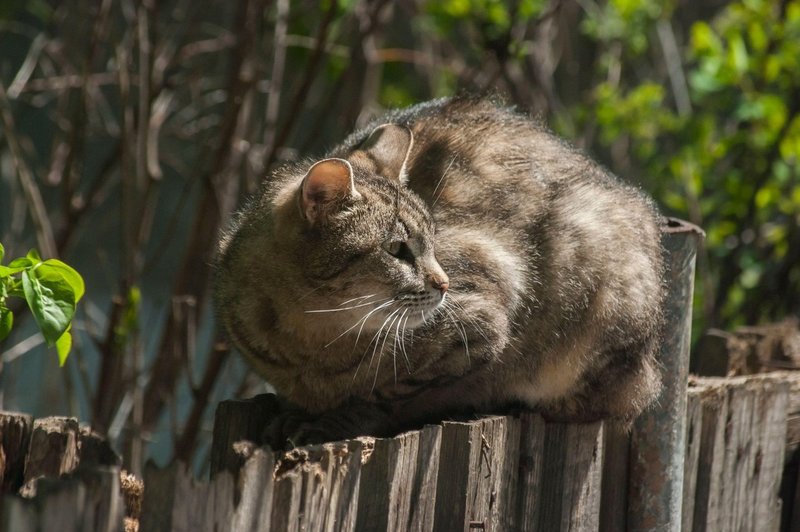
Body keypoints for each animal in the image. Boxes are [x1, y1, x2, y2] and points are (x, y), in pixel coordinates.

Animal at [216, 95, 664, 444]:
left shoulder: (483, 313)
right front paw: (291, 413)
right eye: (397, 250)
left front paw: (335, 420)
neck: (310, 345)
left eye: (433, 239)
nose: (444, 282)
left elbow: (389, 393)